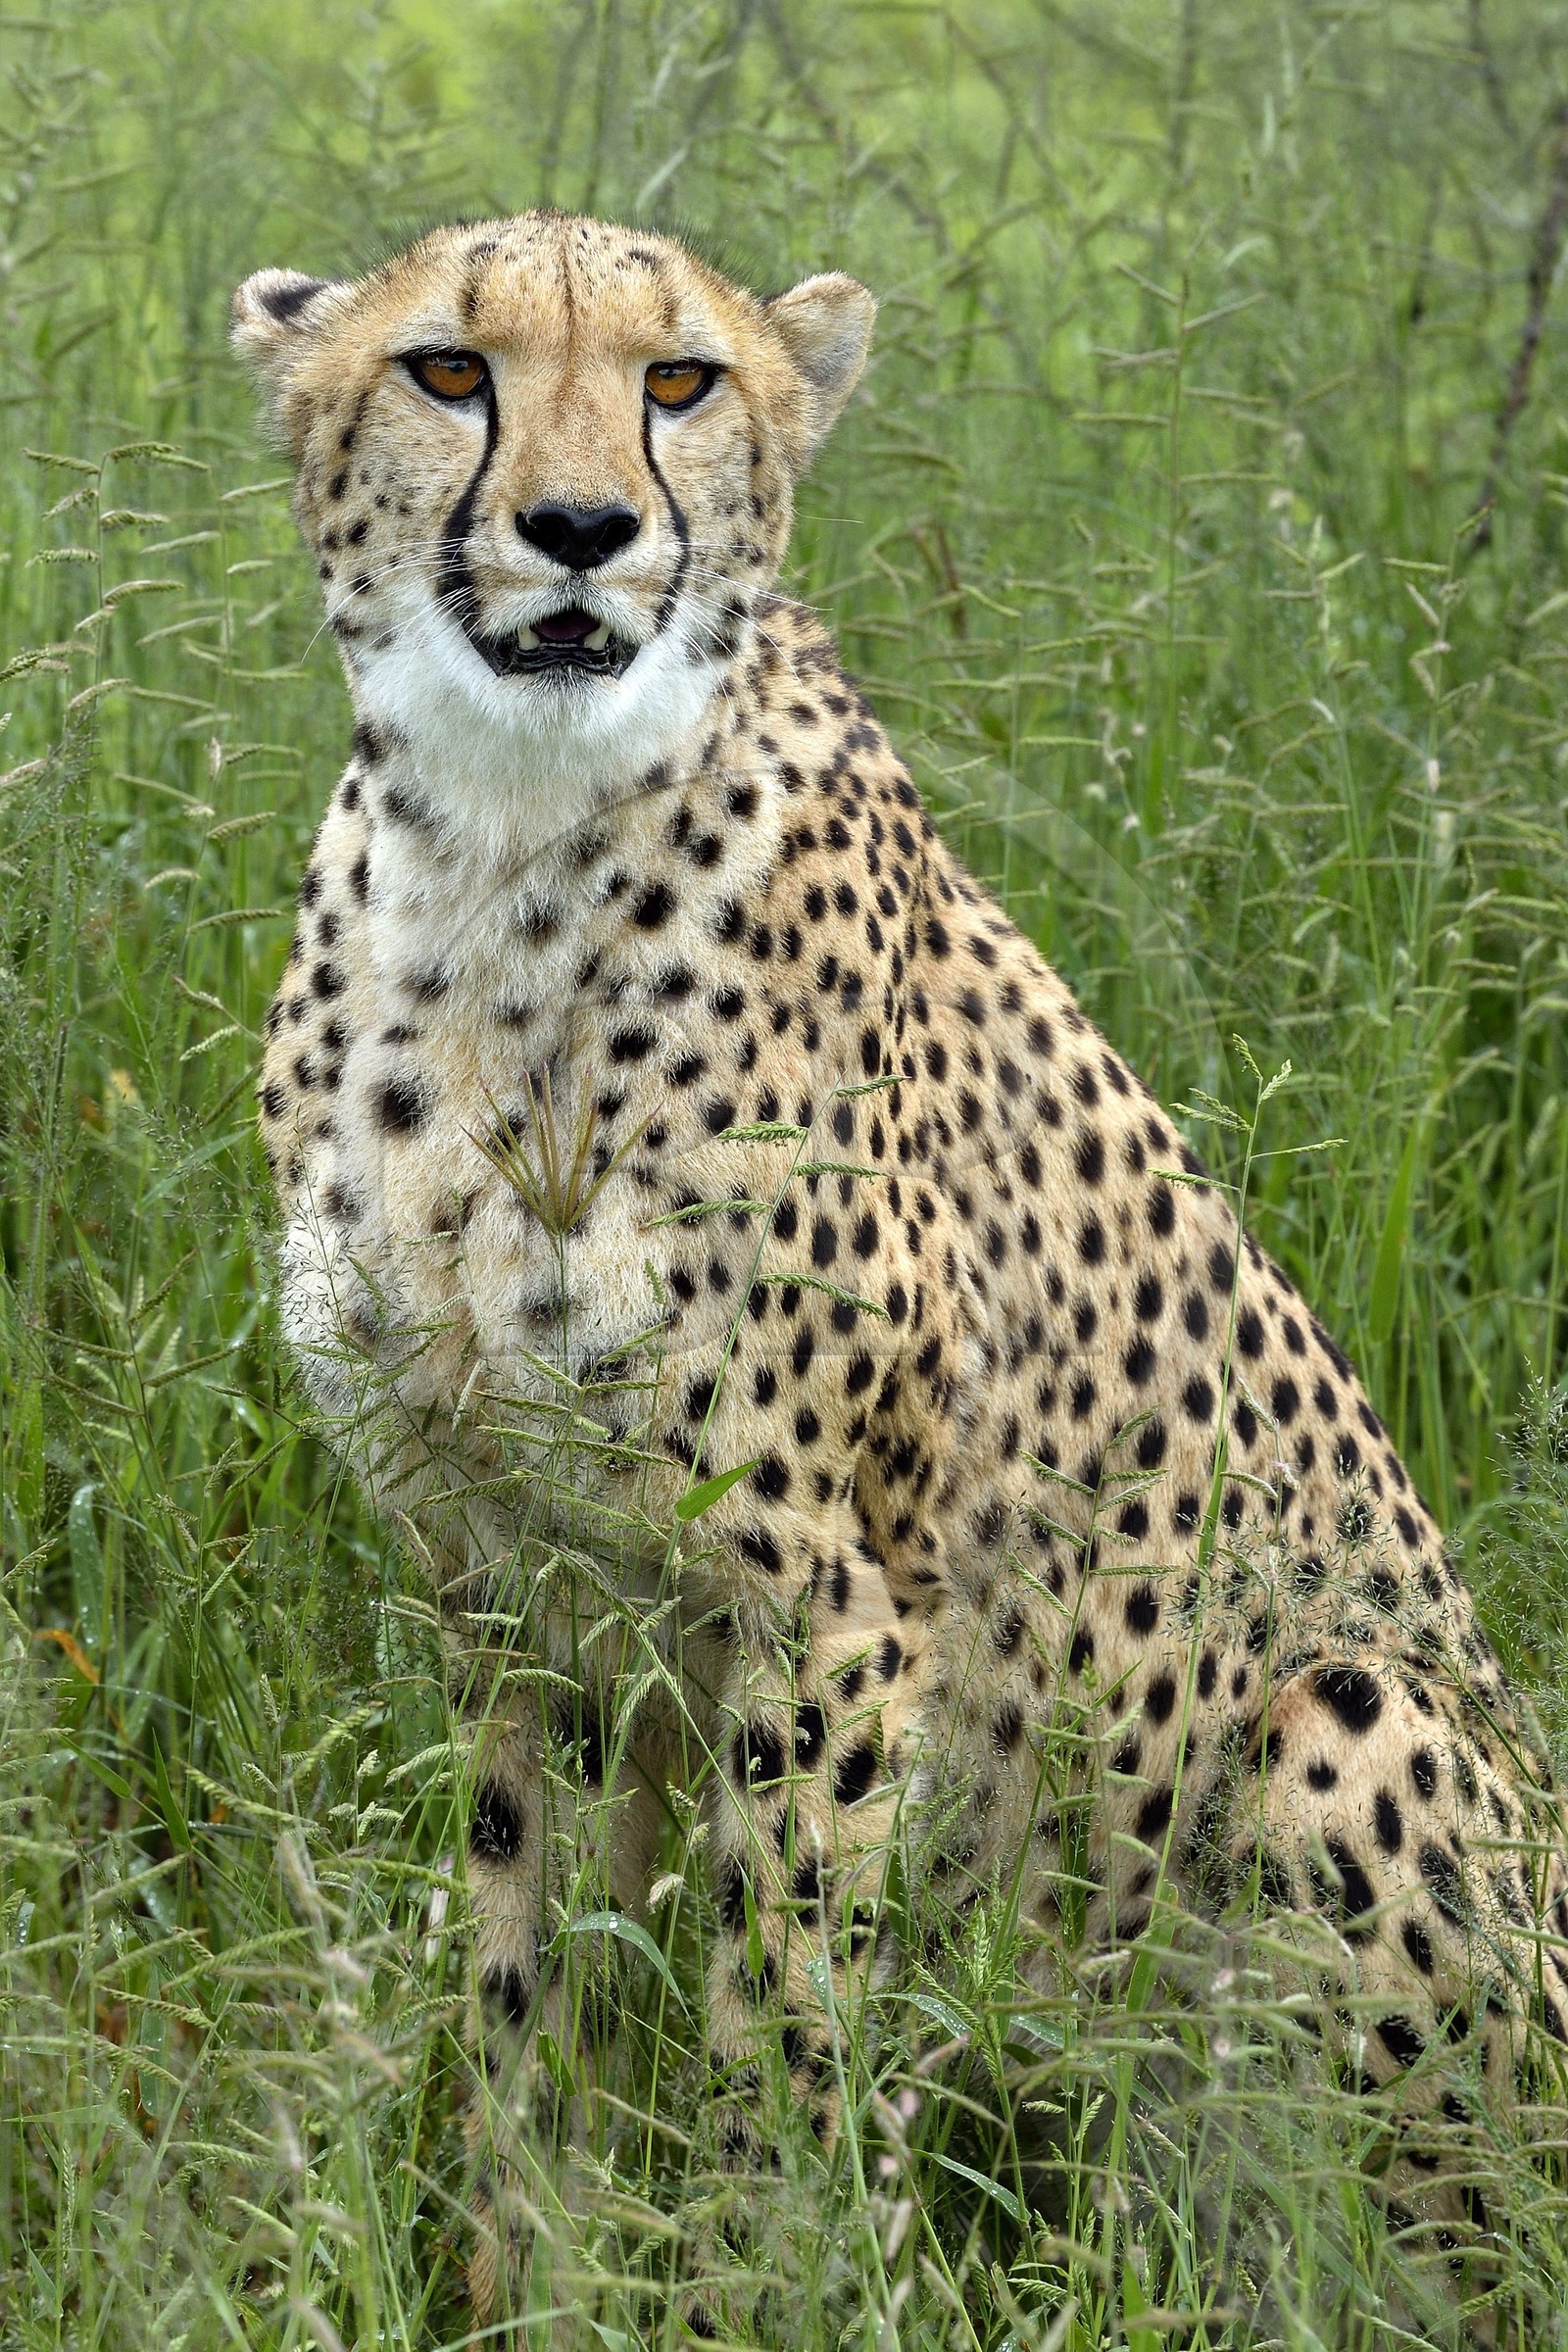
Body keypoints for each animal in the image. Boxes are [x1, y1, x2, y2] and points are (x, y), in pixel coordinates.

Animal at [234, 209, 1568, 2337]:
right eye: (449, 369)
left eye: (678, 380)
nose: (584, 527)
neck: (503, 844)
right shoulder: (516, 1594)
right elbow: (534, 2004)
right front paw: (517, 2283)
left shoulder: (829, 1614)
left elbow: (774, 2037)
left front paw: (760, 2291)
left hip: (1347, 1723)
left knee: (1431, 2246)